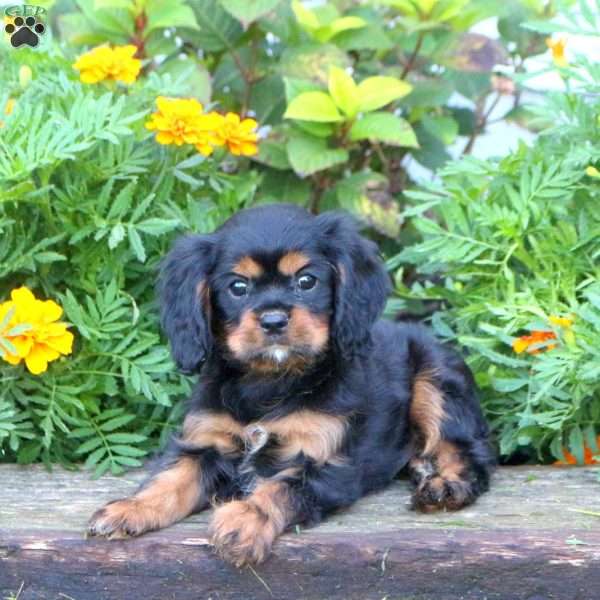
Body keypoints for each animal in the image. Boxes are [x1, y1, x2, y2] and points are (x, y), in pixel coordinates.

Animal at [86, 204, 494, 564]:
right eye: (238, 287)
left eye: (306, 281)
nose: (273, 320)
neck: (272, 379)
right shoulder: (207, 442)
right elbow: (170, 479)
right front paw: (129, 509)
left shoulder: (324, 461)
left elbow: (281, 488)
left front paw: (244, 519)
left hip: (437, 378)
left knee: (468, 452)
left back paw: (443, 485)